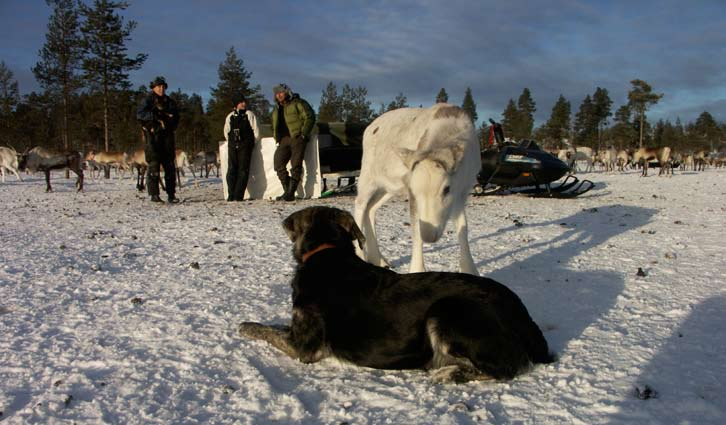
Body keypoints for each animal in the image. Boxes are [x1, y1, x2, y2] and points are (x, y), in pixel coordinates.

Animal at [242, 207, 556, 382]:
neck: (328, 252)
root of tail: (521, 312)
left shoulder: (304, 348)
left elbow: (265, 329)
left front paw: (244, 326)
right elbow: (276, 326)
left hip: (445, 311)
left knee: (506, 368)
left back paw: (450, 374)